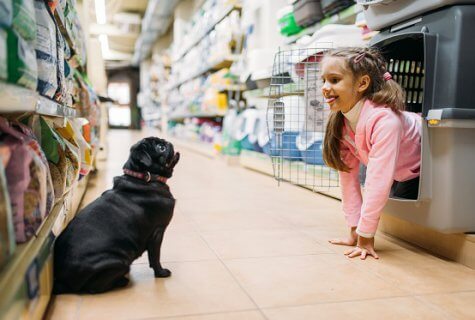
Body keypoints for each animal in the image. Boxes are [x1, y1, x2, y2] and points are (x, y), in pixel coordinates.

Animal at [52, 136, 180, 294]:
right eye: (160, 148)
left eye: (162, 143)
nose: (167, 142)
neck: (144, 178)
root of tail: (63, 280)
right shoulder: (158, 232)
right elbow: (155, 257)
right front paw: (161, 273)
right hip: (121, 261)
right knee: (93, 288)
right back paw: (122, 281)